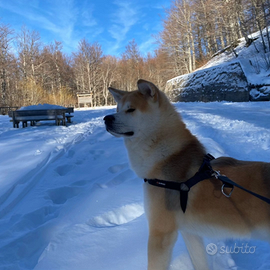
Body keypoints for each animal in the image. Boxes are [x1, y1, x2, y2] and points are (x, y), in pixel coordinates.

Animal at [104, 79, 270, 270]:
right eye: (117, 109)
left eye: (130, 109)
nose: (106, 118)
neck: (167, 157)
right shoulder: (189, 232)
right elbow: (199, 261)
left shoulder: (161, 233)